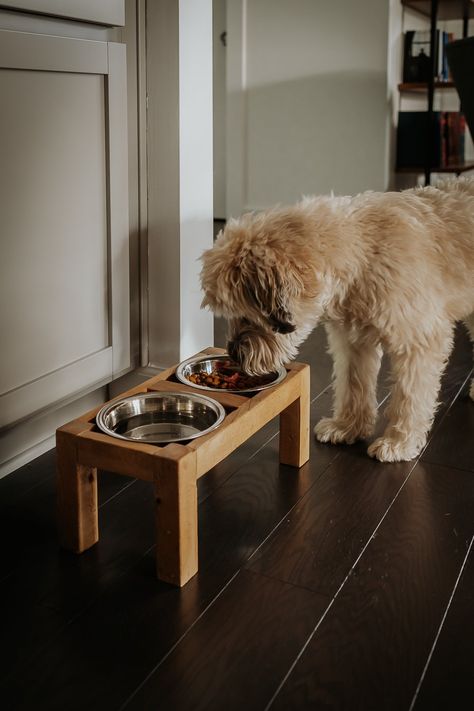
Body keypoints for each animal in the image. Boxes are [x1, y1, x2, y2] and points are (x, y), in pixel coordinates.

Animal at [200, 181, 474, 464]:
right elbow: (353, 385)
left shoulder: (418, 342)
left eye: (245, 315)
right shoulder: (353, 341)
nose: (233, 352)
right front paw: (347, 427)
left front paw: (399, 443)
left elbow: (410, 397)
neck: (362, 252)